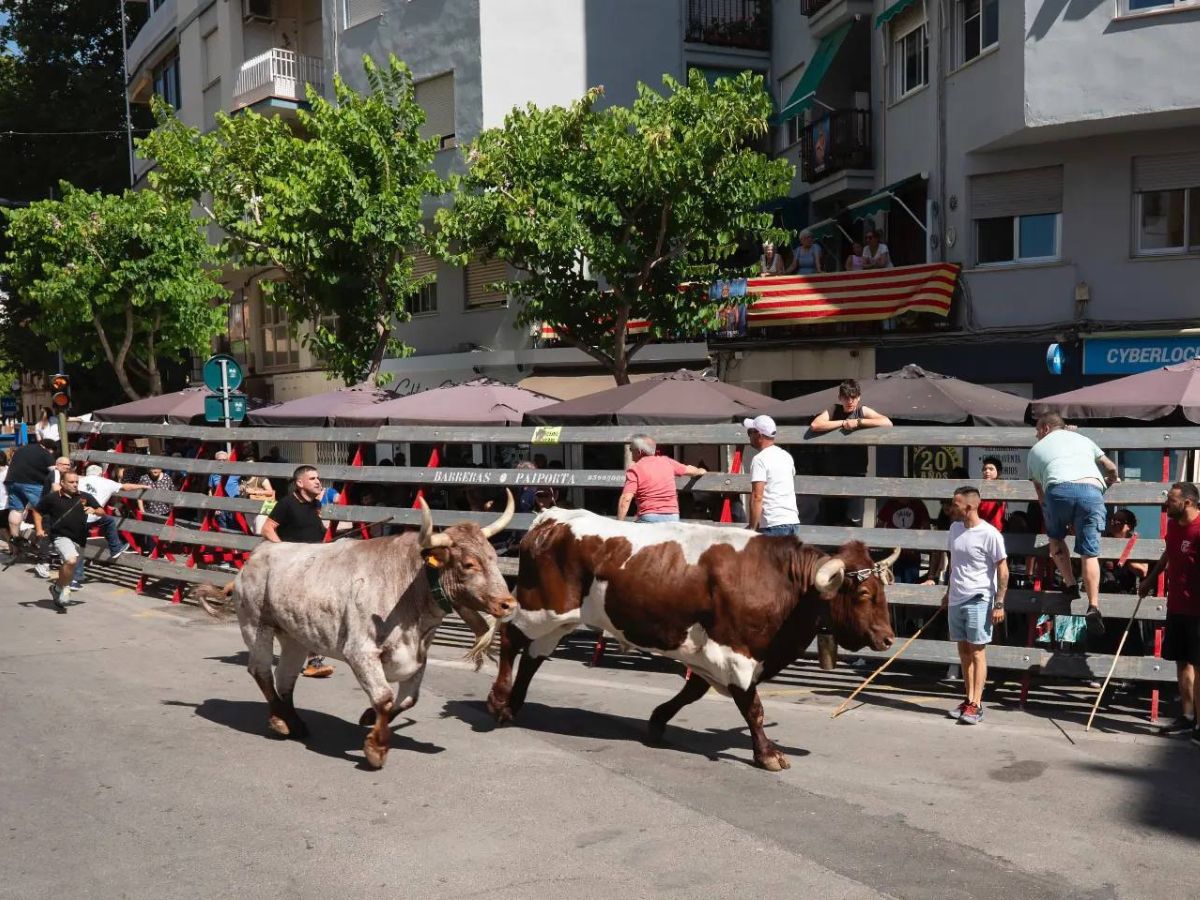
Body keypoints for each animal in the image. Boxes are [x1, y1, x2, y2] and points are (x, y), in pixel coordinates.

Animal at [195, 494, 516, 768]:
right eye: (468, 564)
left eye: (493, 557)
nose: (508, 604)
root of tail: (257, 554)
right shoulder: (361, 652)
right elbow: (385, 697)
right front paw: (376, 747)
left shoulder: (418, 656)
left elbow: (407, 700)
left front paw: (368, 716)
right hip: (255, 624)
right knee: (261, 671)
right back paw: (279, 720)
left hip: (294, 636)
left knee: (285, 678)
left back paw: (294, 722)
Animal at [482, 511, 897, 772]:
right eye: (863, 594)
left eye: (883, 591)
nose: (887, 638)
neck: (781, 583)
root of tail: (549, 520)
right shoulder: (734, 654)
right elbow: (754, 709)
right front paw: (767, 754)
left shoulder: (711, 654)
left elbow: (692, 692)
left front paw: (656, 722)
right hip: (540, 608)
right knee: (510, 638)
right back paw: (499, 702)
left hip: (557, 620)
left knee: (534, 656)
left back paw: (514, 704)